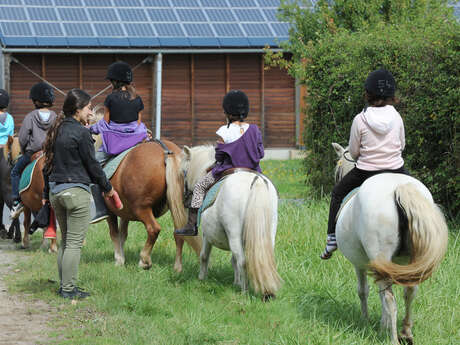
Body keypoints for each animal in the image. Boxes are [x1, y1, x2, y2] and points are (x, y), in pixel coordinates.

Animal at [181, 144, 282, 296]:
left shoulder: (207, 235)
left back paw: (244, 291)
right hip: (268, 233)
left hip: (234, 233)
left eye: (184, 172)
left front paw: (201, 278)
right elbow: (233, 261)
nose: (185, 200)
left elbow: (204, 256)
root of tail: (256, 180)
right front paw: (236, 282)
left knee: (243, 261)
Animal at [332, 142, 448, 344]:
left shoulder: (359, 264)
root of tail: (399, 188)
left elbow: (363, 291)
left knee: (389, 300)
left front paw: (367, 321)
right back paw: (406, 332)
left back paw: (393, 338)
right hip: (411, 261)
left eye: (337, 170)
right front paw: (381, 326)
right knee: (410, 292)